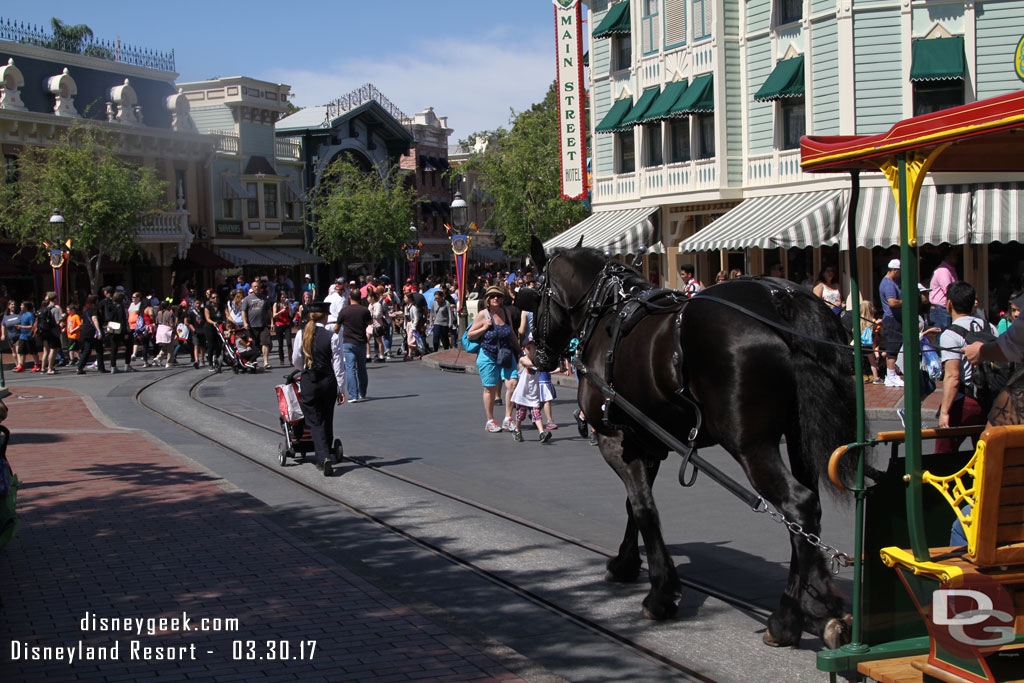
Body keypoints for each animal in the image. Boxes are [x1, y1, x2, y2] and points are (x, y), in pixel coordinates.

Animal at [528, 237, 856, 651]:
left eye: (535, 293)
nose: (536, 354)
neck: (604, 312)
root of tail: (781, 298)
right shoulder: (645, 440)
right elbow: (635, 505)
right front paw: (626, 564)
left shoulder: (615, 439)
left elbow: (643, 508)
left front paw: (661, 595)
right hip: (798, 438)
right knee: (805, 514)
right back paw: (818, 607)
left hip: (750, 444)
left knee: (797, 505)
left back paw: (787, 620)